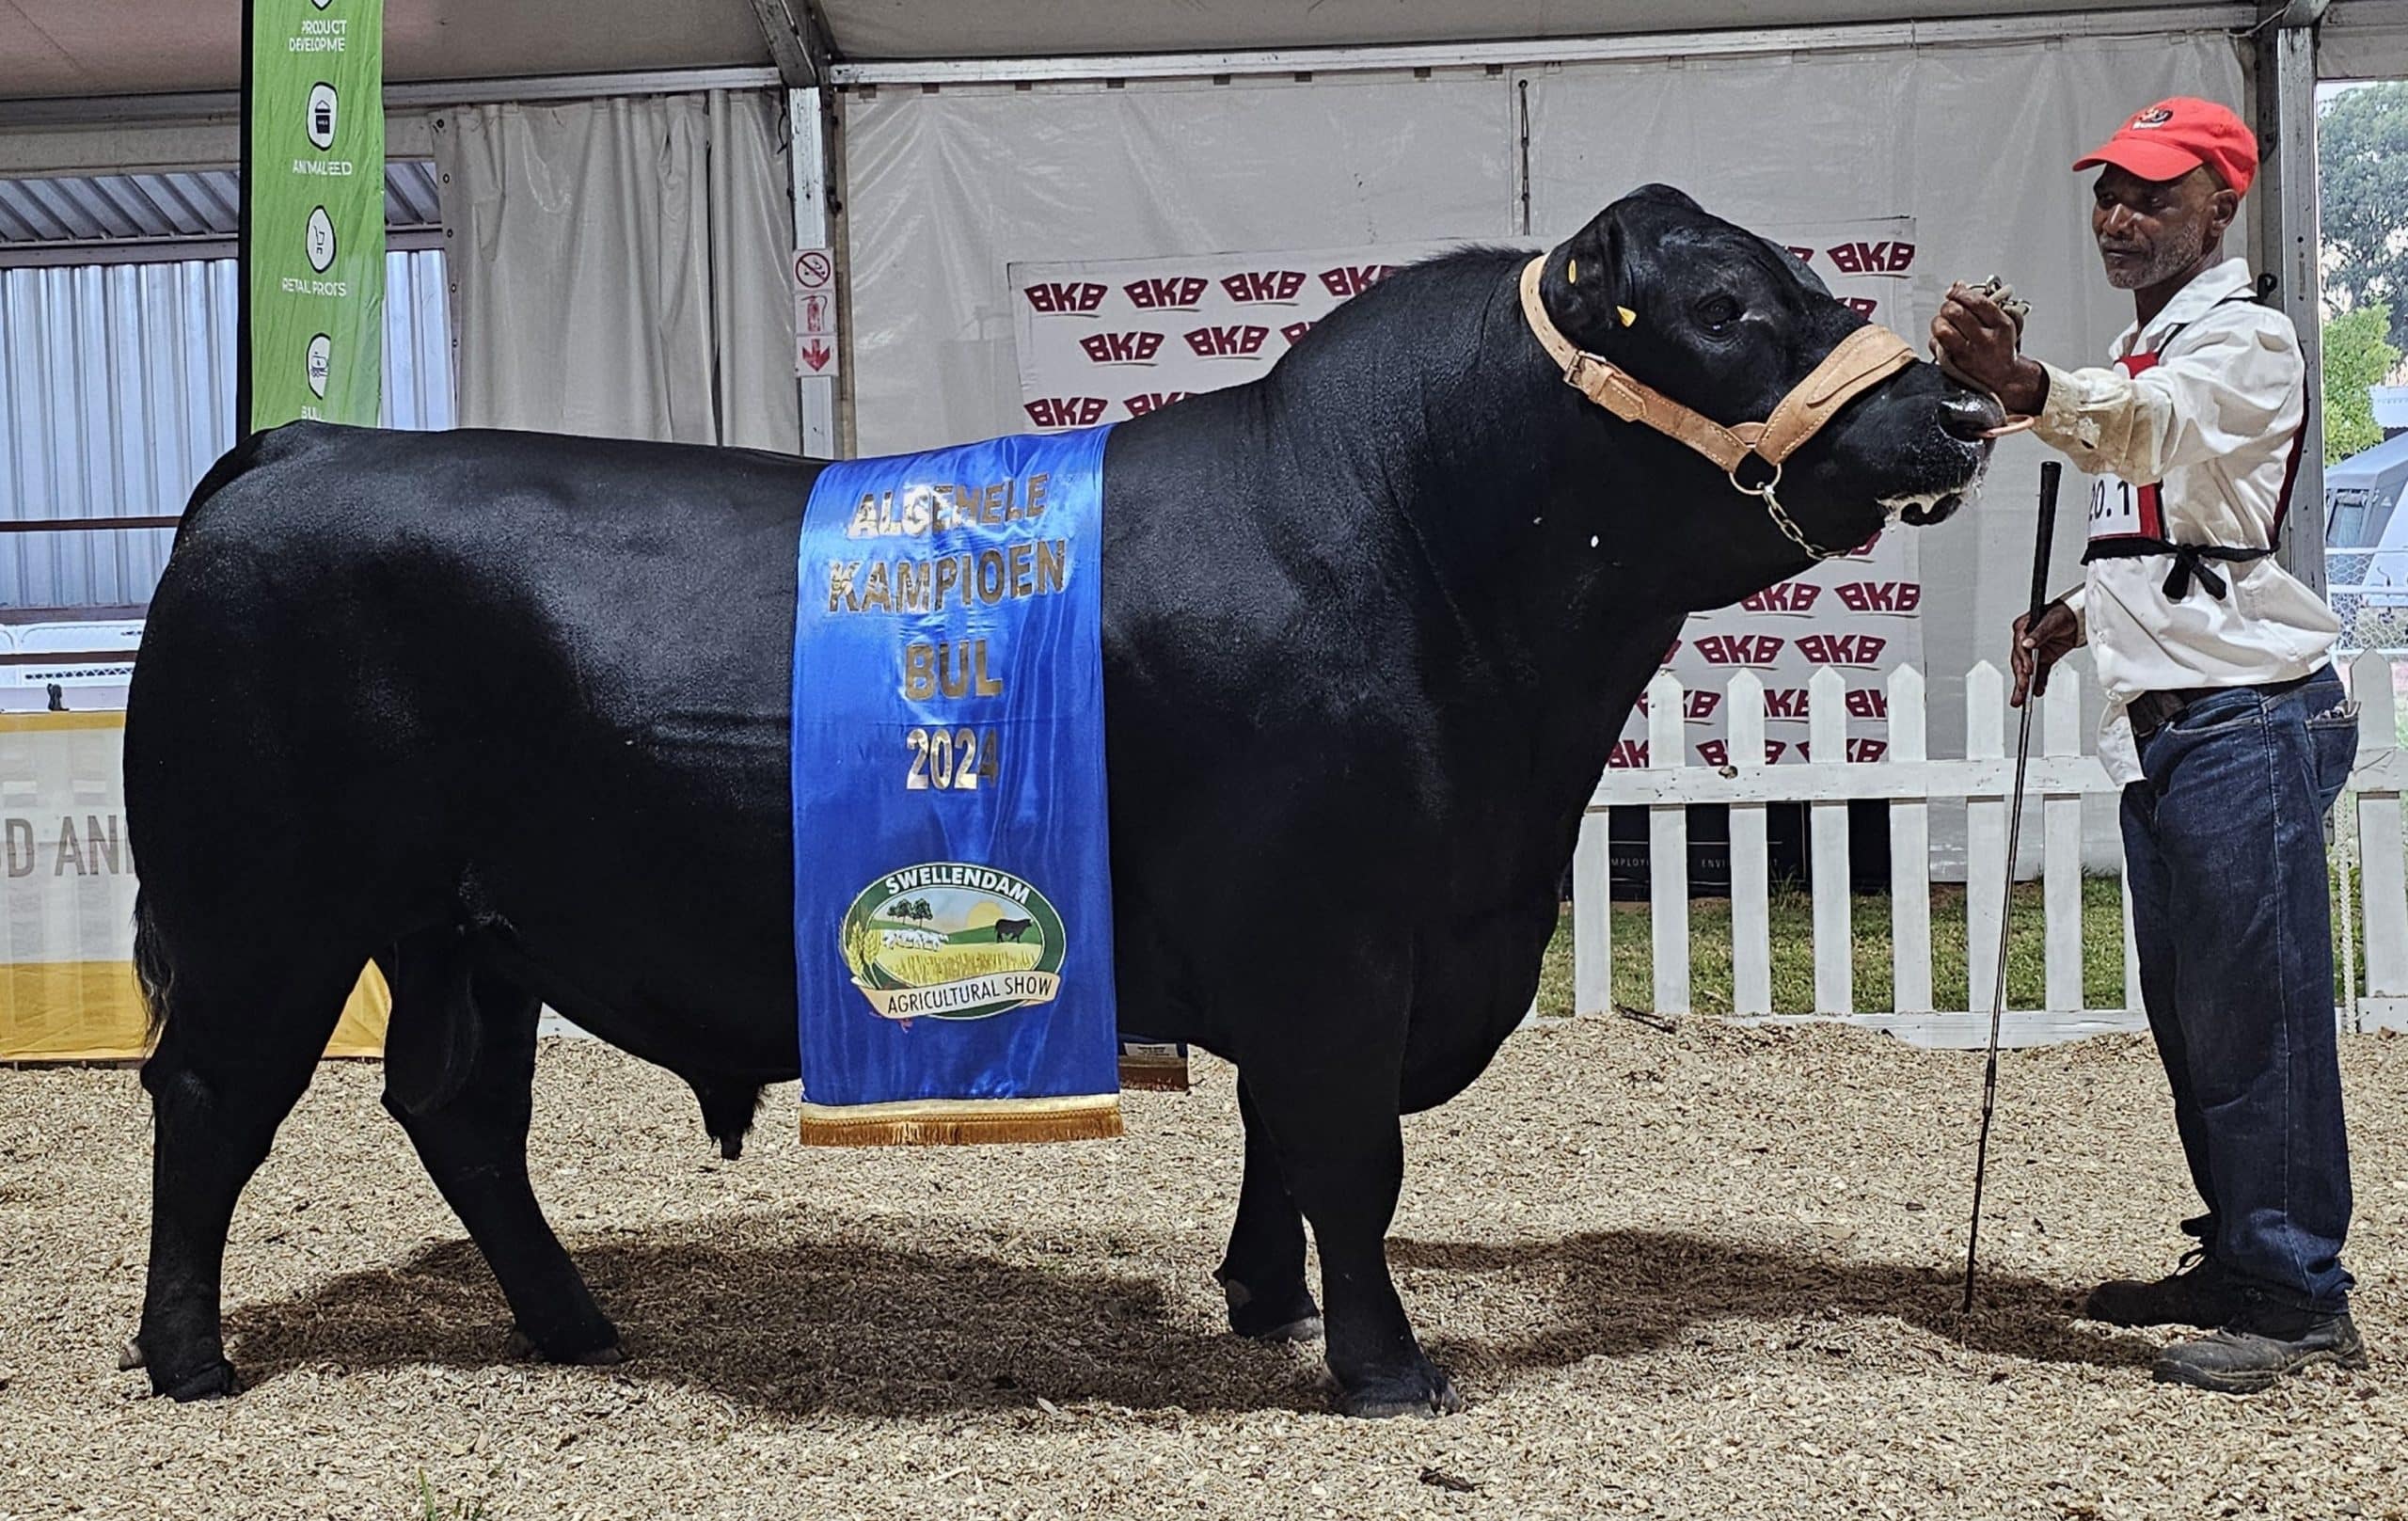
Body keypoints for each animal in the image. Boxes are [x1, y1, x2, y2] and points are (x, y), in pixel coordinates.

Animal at [121, 187, 1993, 1415]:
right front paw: (1387, 1368)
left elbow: (1279, 1141)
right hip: (263, 909)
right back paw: (193, 1358)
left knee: (457, 1112)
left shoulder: (1333, 943)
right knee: (212, 1102)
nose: (1960, 405)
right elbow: (1349, 1148)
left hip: (465, 929)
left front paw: (1263, 1302)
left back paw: (573, 1324)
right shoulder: (1332, 939)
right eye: (1728, 310)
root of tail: (304, 446)